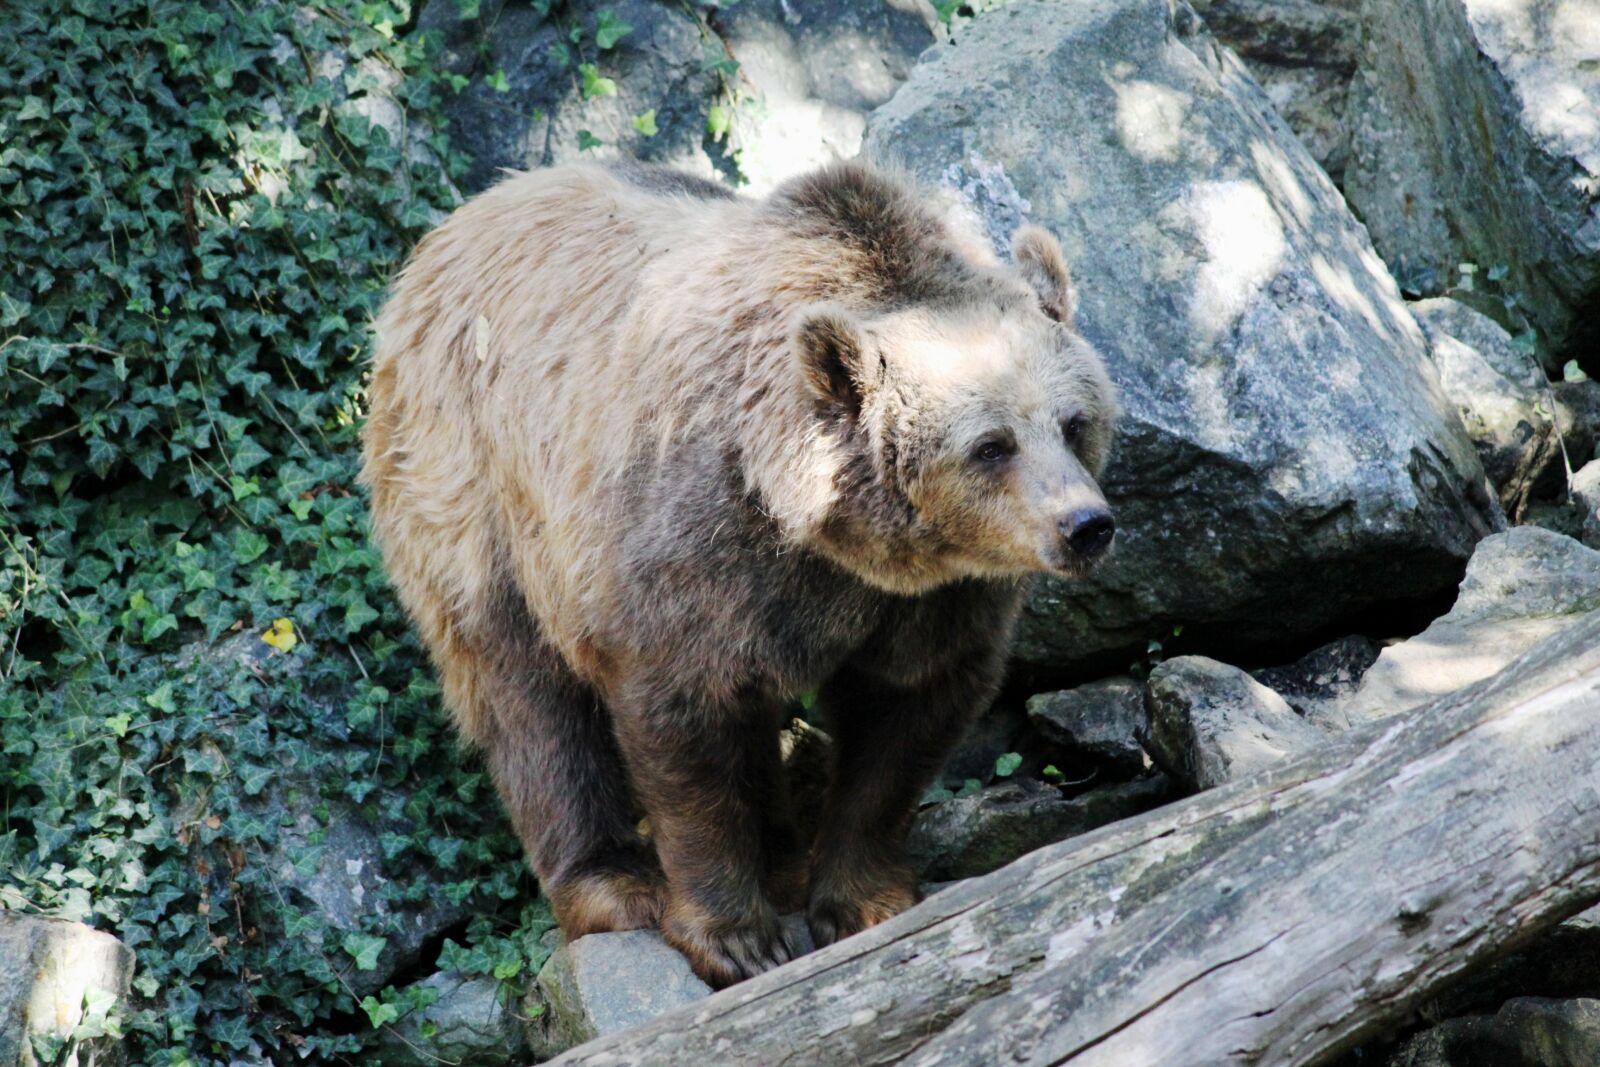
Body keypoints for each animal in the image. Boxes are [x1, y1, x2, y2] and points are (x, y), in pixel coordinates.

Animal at [360, 159, 1118, 987]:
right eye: (991, 445)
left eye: (1075, 422)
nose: (1086, 523)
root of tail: (454, 226)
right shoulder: (693, 545)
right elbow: (685, 725)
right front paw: (737, 935)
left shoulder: (930, 600)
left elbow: (907, 714)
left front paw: (862, 897)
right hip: (476, 486)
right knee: (528, 694)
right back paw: (612, 881)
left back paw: (781, 855)